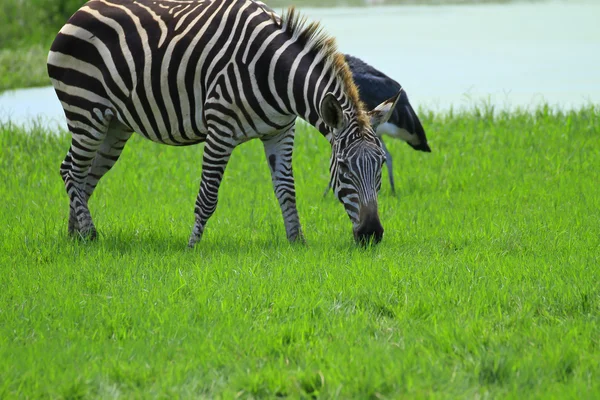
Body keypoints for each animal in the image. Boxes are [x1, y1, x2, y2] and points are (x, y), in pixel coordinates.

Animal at [48, 0, 404, 247]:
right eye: (342, 167)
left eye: (380, 164)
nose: (372, 235)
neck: (275, 74)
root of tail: (80, 10)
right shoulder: (219, 126)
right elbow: (208, 195)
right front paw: (192, 246)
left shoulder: (281, 131)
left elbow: (286, 189)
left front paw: (297, 243)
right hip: (85, 109)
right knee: (71, 170)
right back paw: (89, 236)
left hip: (114, 125)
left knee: (85, 176)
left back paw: (74, 236)